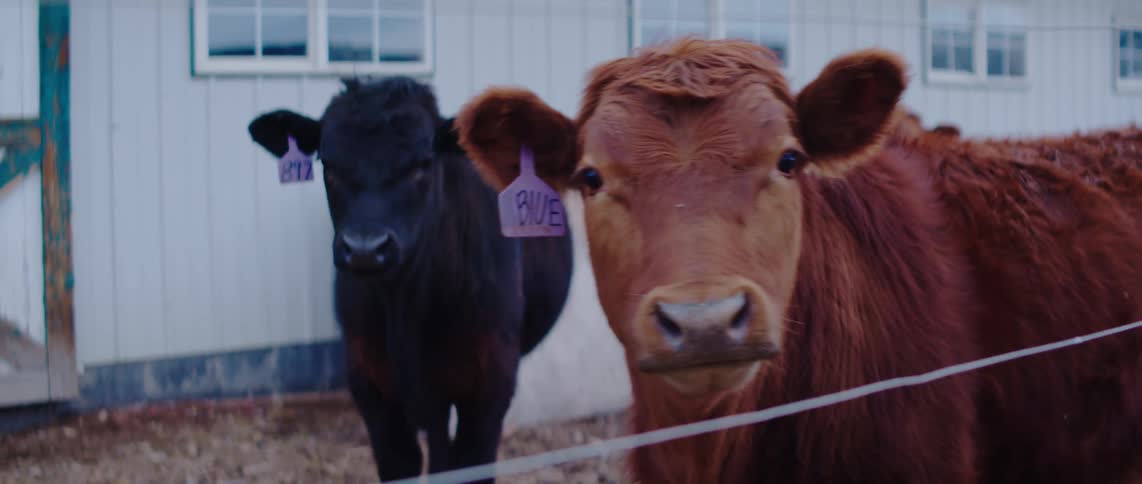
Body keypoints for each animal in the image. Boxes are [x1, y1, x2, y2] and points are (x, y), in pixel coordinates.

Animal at [246, 76, 574, 483]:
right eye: (328, 163)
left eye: (423, 163)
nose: (365, 248)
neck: (408, 306)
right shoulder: (371, 383)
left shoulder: (488, 386)